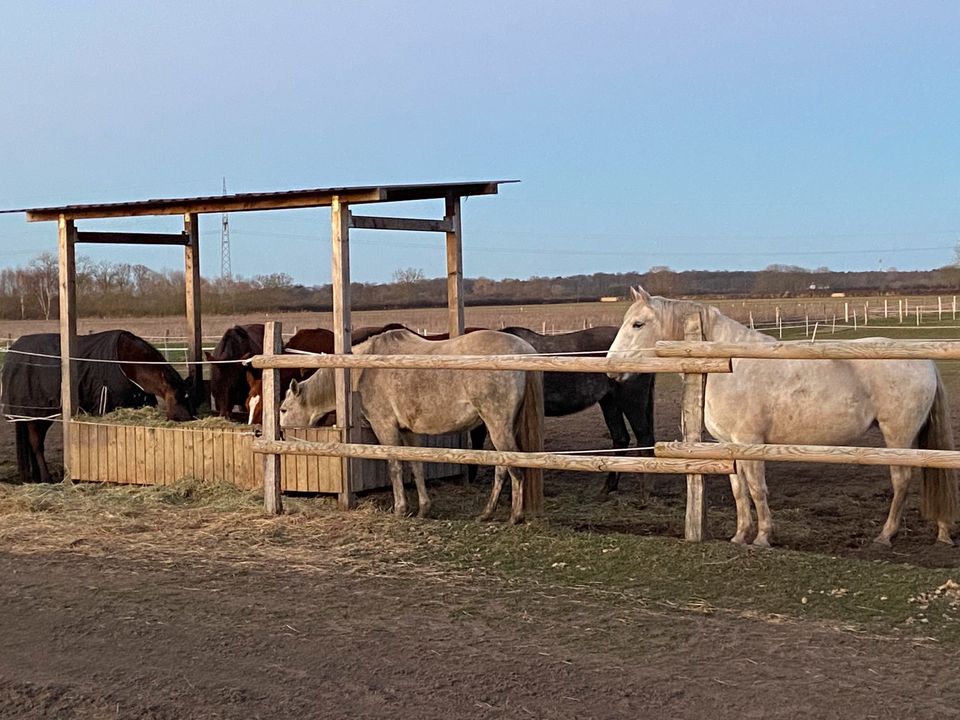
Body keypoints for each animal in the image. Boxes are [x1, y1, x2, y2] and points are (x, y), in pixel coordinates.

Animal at [0, 332, 197, 484]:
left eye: (189, 398)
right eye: (177, 398)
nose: (187, 419)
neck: (126, 364)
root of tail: (12, 354)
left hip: (40, 415)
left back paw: (35, 477)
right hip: (34, 413)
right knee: (36, 444)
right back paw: (46, 478)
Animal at [282, 330, 544, 524]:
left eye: (283, 410)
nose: (282, 435)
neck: (364, 368)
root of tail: (524, 350)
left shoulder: (385, 427)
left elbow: (395, 466)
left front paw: (400, 508)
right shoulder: (409, 432)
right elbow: (416, 466)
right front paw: (423, 508)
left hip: (498, 426)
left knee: (514, 467)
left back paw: (514, 516)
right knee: (503, 467)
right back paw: (487, 513)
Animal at [466, 326, 656, 496]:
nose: (470, 478)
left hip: (631, 402)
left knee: (643, 436)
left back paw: (644, 493)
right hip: (610, 402)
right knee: (621, 438)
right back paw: (608, 488)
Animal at [612, 286, 956, 544]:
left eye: (637, 324)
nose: (613, 368)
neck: (727, 365)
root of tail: (926, 362)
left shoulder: (750, 442)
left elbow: (756, 489)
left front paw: (763, 537)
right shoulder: (729, 446)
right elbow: (739, 491)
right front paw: (740, 535)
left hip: (898, 435)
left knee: (902, 480)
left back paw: (886, 536)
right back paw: (940, 532)